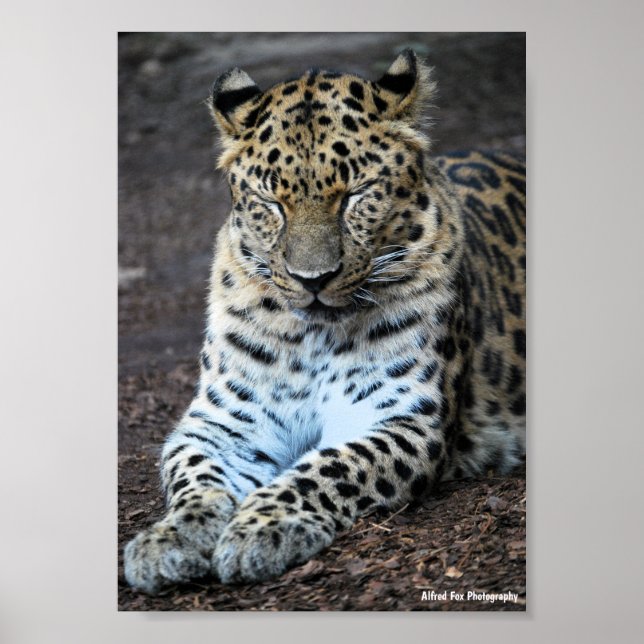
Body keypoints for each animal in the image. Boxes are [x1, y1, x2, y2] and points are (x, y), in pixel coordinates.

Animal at [123, 49, 526, 594]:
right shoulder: (223, 422)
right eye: (272, 204)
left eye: (354, 196)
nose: (312, 279)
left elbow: (328, 469)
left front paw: (263, 527)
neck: (310, 336)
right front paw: (169, 538)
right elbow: (194, 477)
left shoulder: (402, 416)